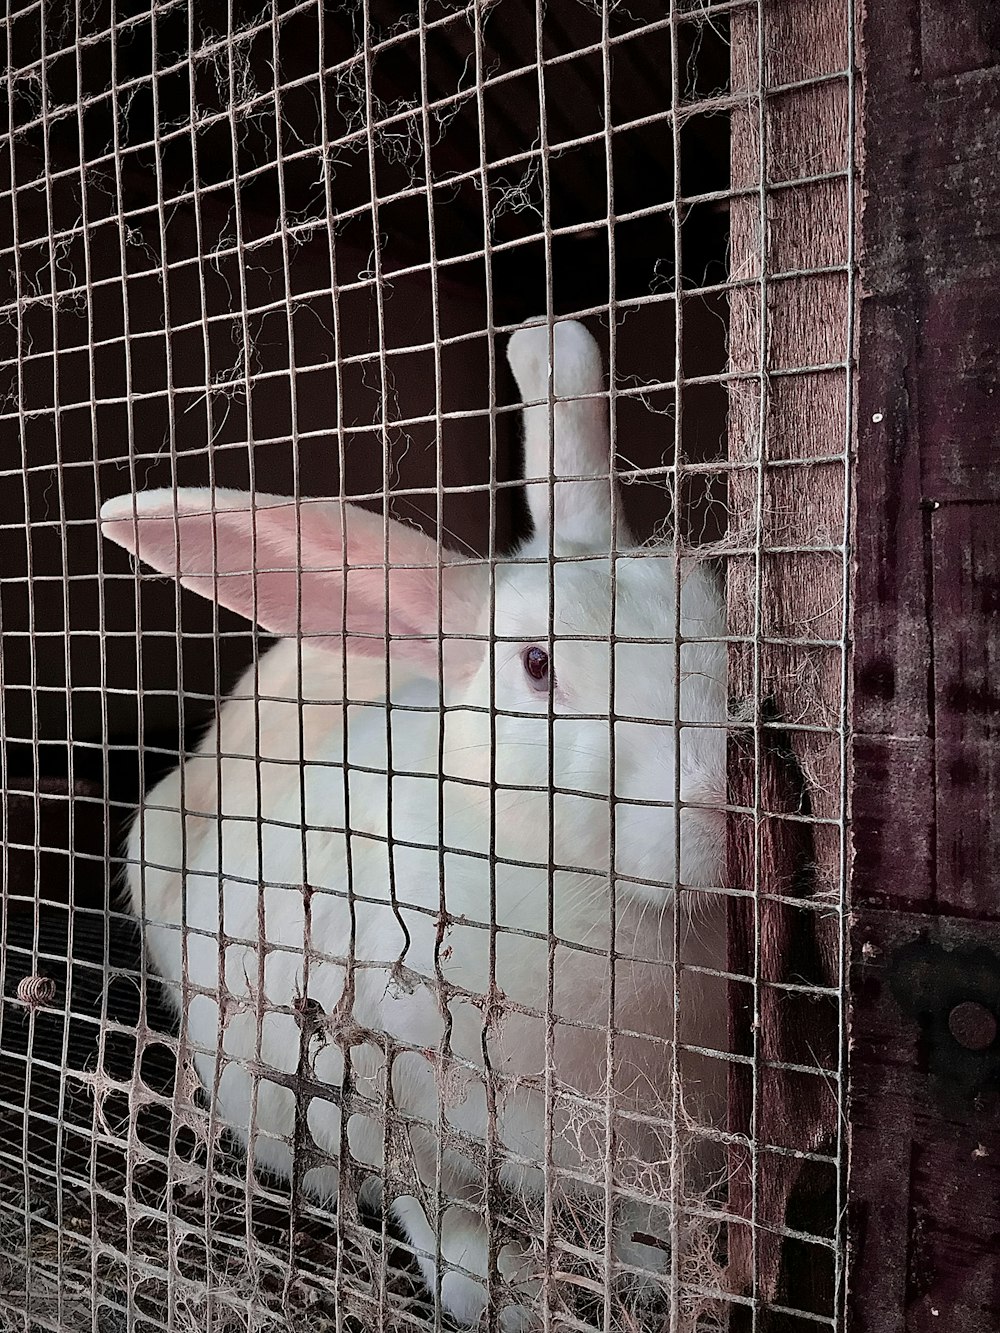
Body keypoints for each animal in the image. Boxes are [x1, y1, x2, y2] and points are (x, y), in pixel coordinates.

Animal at [102, 319, 730, 1322]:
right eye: (537, 664)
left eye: (715, 613)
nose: (721, 805)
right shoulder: (370, 1101)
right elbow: (442, 1221)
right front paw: (508, 1305)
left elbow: (649, 1231)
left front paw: (668, 1281)